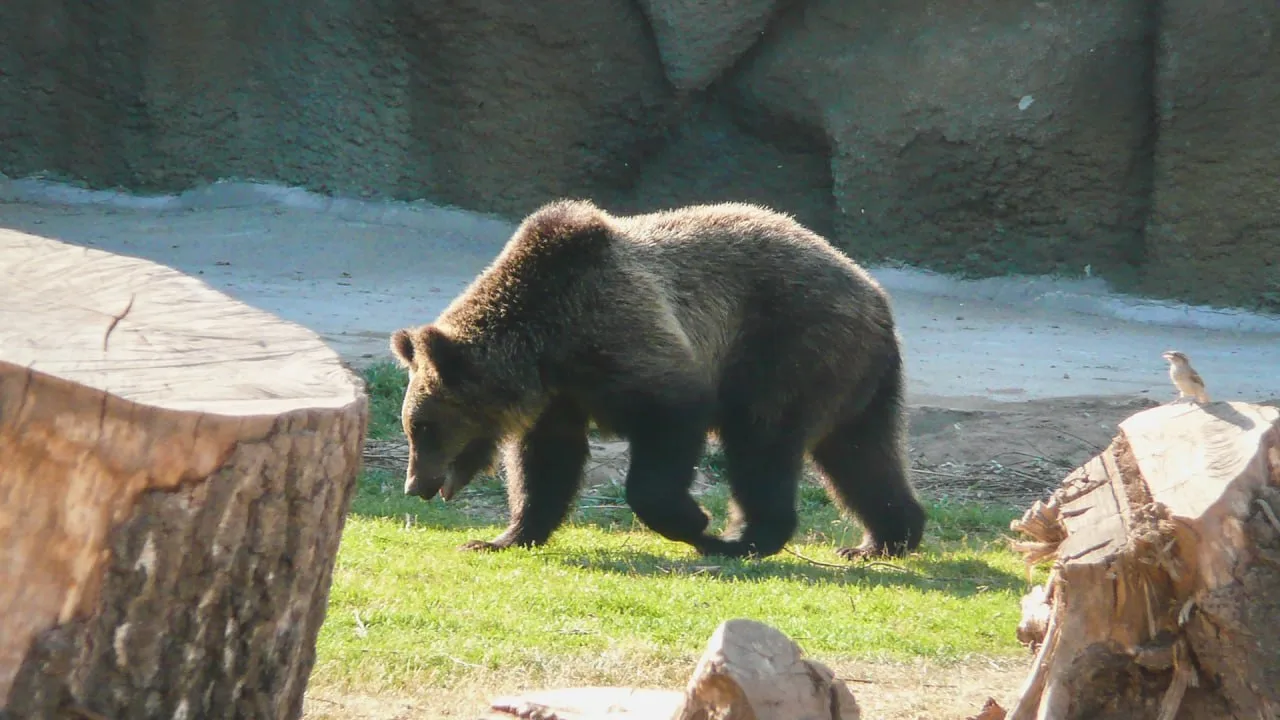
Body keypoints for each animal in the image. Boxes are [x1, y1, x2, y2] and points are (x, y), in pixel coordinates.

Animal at [389, 198, 926, 560]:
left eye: (424, 427)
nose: (415, 484)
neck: (546, 342)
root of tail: (875, 295)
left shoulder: (625, 338)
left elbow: (669, 422)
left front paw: (695, 521)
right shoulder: (559, 395)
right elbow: (546, 464)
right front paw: (499, 537)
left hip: (788, 346)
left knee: (762, 441)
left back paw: (743, 539)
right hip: (857, 380)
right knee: (860, 454)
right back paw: (884, 539)